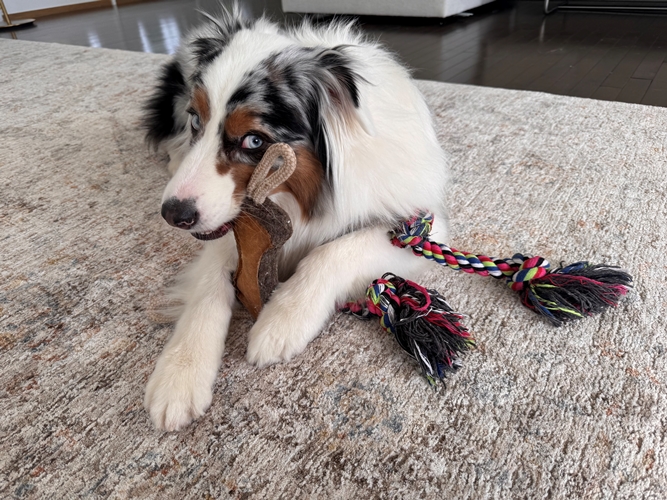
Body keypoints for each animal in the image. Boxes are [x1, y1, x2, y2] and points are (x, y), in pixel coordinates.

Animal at [142, 5, 450, 431]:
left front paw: (281, 321)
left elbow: (333, 251)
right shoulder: (228, 223)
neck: (301, 197)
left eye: (254, 140)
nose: (173, 214)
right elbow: (208, 287)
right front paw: (180, 372)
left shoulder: (420, 228)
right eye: (196, 121)